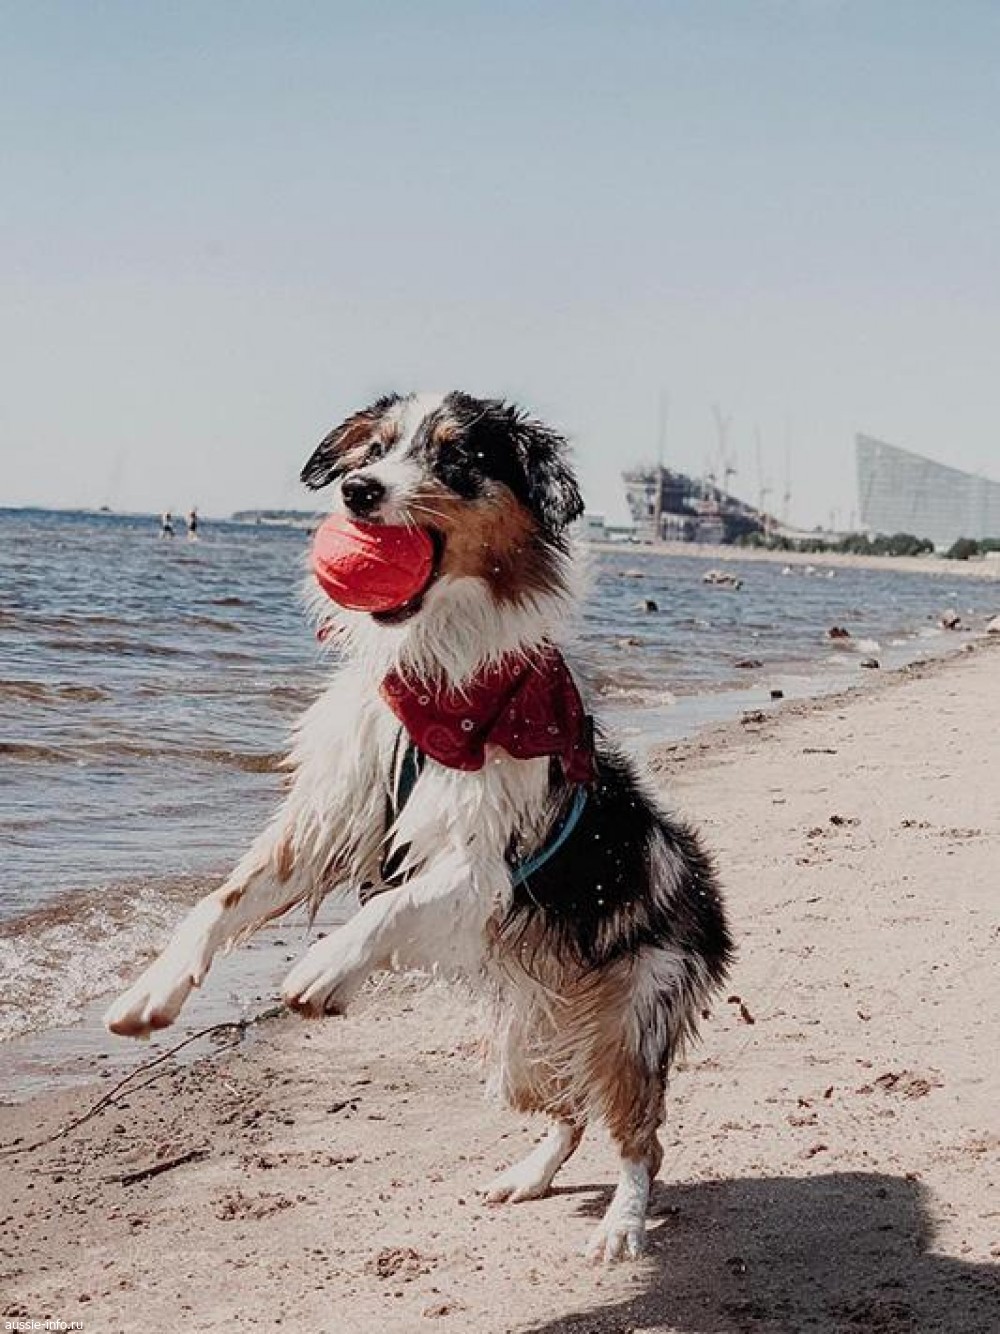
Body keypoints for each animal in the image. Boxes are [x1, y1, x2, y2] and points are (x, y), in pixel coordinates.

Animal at [104, 390, 732, 1261]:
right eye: (372, 450)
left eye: (457, 458)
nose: (359, 491)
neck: (435, 673)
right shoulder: (332, 812)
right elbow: (219, 901)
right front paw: (151, 990)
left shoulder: (484, 862)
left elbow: (386, 909)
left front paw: (323, 970)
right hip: (524, 1036)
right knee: (568, 1112)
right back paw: (528, 1175)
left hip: (628, 1018)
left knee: (640, 1132)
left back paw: (621, 1224)